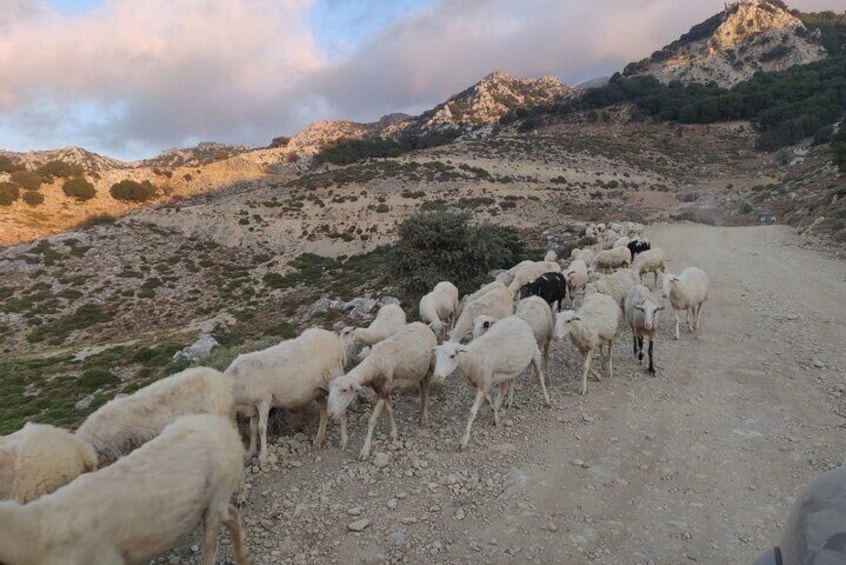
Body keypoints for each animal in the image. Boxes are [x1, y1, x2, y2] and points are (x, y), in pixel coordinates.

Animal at [227, 326, 350, 462]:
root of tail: (336, 341)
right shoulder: (253, 407)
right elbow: (252, 430)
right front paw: (251, 452)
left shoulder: (263, 401)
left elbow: (261, 428)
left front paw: (263, 455)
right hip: (319, 392)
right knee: (323, 414)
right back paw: (318, 440)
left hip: (335, 382)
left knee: (342, 412)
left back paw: (344, 442)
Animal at [330, 322, 440, 458]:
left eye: (344, 390)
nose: (331, 414)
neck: (375, 363)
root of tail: (424, 325)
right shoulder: (384, 389)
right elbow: (390, 410)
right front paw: (394, 433)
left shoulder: (383, 391)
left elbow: (372, 421)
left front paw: (365, 450)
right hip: (419, 372)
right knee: (422, 388)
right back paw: (421, 408)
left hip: (430, 367)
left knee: (427, 390)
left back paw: (424, 417)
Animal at [438, 312, 548, 450]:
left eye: (452, 355)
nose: (438, 376)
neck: (472, 357)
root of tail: (516, 318)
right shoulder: (483, 384)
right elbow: (490, 401)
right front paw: (495, 417)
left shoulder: (483, 385)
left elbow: (472, 412)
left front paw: (463, 441)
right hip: (512, 367)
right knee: (512, 379)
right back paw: (509, 400)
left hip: (535, 353)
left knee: (540, 375)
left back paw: (547, 401)